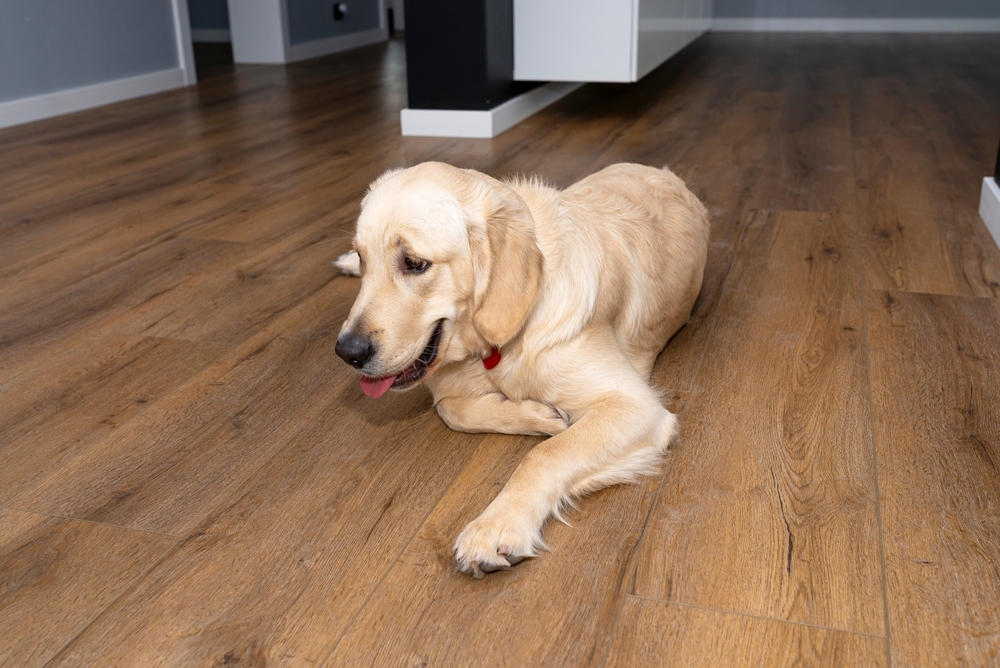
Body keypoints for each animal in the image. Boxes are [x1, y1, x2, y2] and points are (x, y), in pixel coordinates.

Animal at [336, 160, 712, 576]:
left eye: (415, 263)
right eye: (364, 258)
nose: (347, 352)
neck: (500, 346)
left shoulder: (635, 405)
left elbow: (544, 454)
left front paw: (496, 526)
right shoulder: (450, 385)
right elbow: (451, 409)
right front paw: (538, 414)